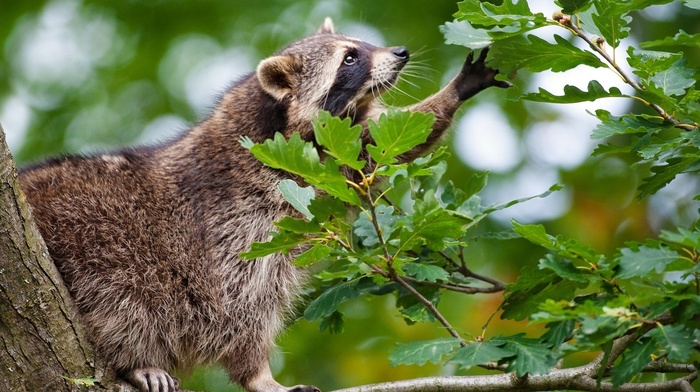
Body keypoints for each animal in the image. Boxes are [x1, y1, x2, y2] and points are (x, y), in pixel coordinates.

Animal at [17, 17, 508, 392]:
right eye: (350, 57)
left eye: (362, 45)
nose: (400, 52)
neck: (274, 120)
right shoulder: (237, 217)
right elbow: (240, 304)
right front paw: (258, 375)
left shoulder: (339, 156)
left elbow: (396, 138)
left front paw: (455, 90)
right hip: (93, 233)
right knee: (123, 296)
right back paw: (135, 360)